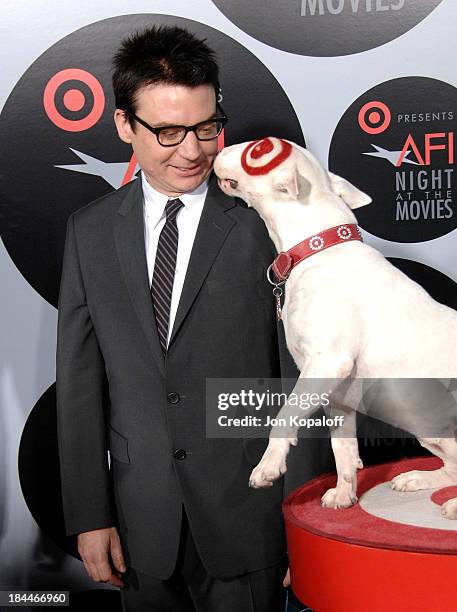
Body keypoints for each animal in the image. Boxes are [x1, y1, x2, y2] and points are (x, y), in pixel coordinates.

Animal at [213, 140, 456, 520]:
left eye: (257, 148)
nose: (217, 148)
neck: (316, 247)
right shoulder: (337, 393)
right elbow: (342, 449)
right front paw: (344, 493)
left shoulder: (327, 364)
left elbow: (284, 416)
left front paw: (268, 466)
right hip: (428, 428)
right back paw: (416, 478)